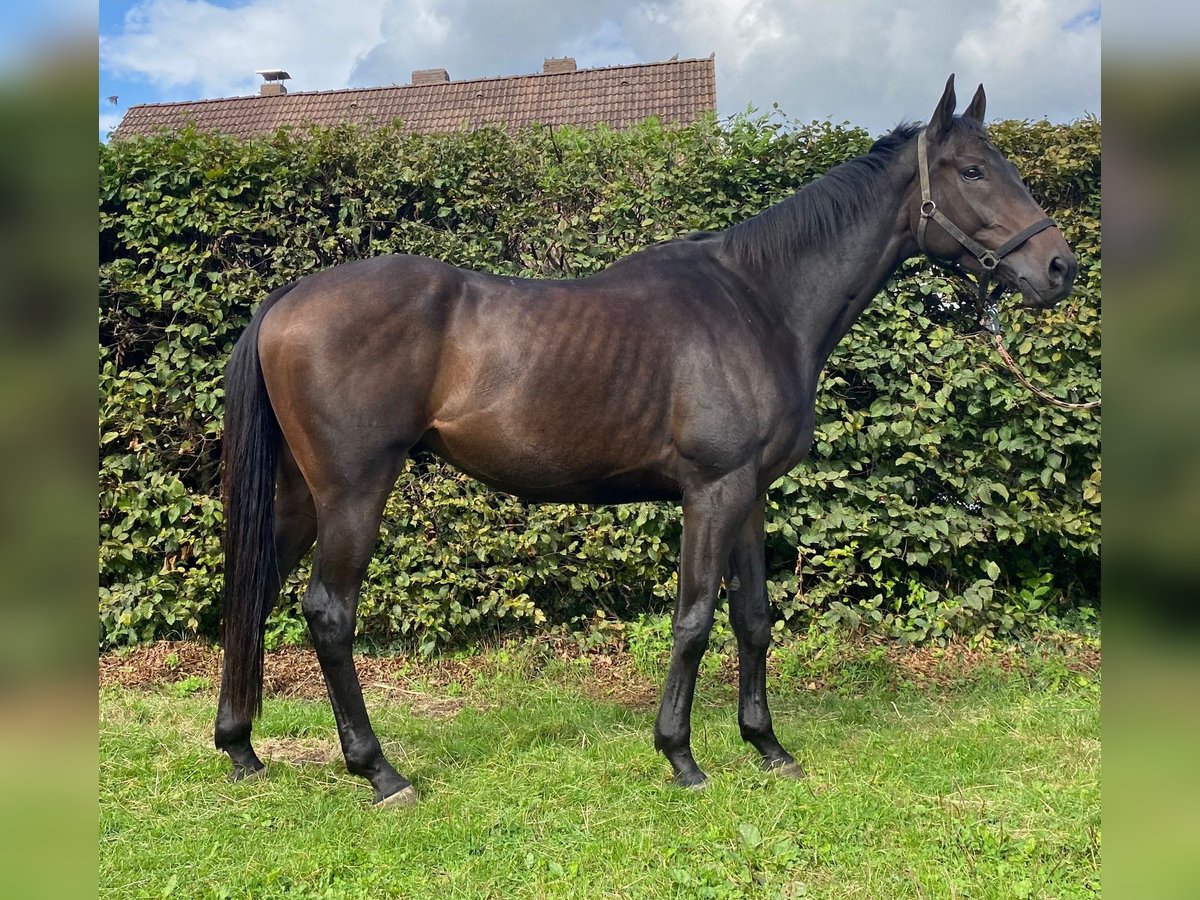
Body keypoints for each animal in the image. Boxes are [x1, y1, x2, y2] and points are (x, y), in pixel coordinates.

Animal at [213, 77, 1080, 806]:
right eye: (973, 171)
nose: (1059, 266)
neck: (759, 302)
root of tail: (287, 298)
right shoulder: (712, 491)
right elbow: (694, 621)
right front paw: (682, 757)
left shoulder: (750, 494)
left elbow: (754, 616)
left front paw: (768, 747)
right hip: (355, 491)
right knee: (328, 613)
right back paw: (380, 772)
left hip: (302, 495)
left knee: (252, 592)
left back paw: (241, 748)